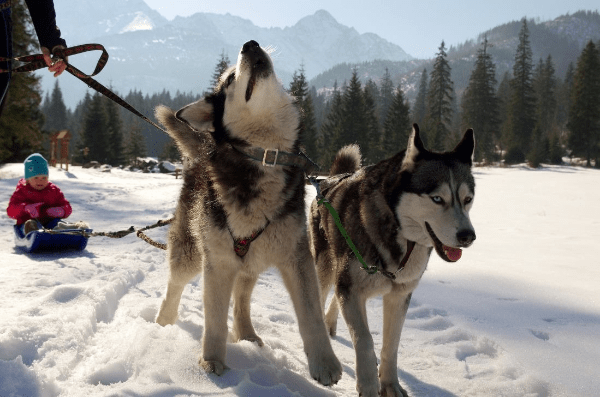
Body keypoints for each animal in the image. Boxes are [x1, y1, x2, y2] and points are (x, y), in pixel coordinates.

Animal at [154, 39, 342, 384]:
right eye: (229, 79)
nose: (250, 44)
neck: (265, 155)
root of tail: (202, 151)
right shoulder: (217, 260)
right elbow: (214, 319)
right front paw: (211, 360)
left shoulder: (297, 257)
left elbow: (312, 316)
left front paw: (325, 364)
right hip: (192, 253)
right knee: (174, 286)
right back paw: (163, 322)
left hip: (253, 259)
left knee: (241, 298)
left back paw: (246, 334)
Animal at [310, 124, 474, 396]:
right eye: (437, 198)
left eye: (468, 199)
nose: (468, 236)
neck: (400, 237)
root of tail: (331, 178)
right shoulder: (352, 289)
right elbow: (365, 340)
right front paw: (368, 386)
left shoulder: (399, 295)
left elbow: (391, 346)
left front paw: (389, 384)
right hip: (325, 267)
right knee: (321, 296)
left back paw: (331, 323)